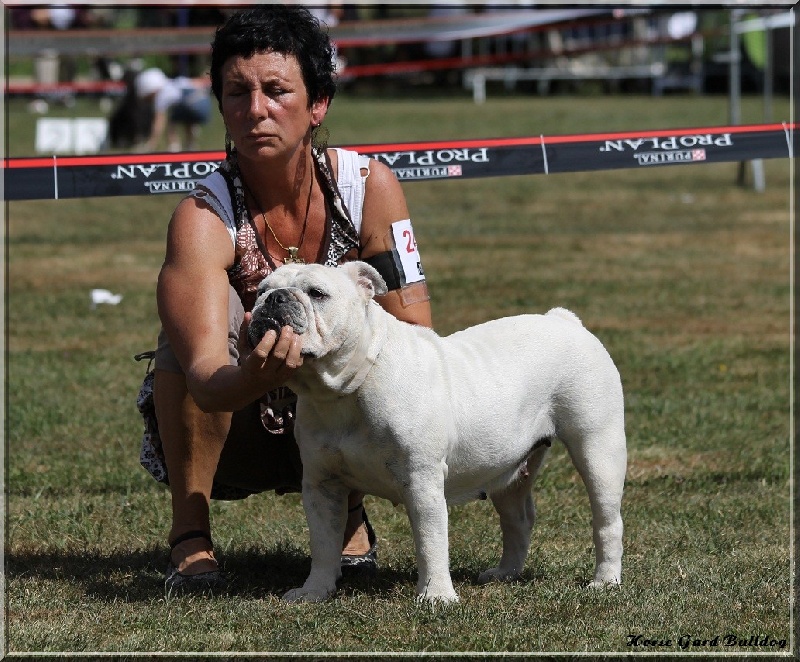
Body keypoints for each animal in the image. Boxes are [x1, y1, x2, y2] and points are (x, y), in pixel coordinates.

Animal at [250, 261, 627, 603]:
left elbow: (430, 541)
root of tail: (564, 319)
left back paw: (605, 581)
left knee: (607, 520)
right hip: (509, 470)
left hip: (598, 449)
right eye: (260, 290)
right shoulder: (321, 486)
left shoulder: (421, 480)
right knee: (517, 519)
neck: (343, 390)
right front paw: (315, 591)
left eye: (317, 293)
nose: (274, 299)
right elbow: (324, 543)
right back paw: (505, 573)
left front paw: (436, 596)